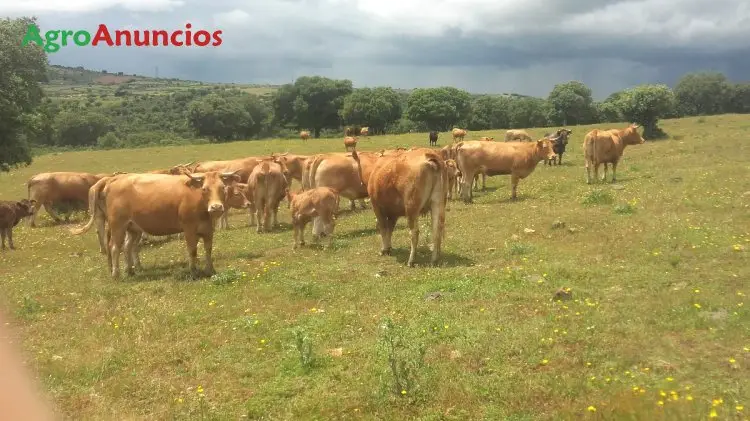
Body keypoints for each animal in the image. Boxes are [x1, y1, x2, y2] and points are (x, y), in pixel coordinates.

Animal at [70, 169, 241, 278]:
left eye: (222, 187)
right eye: (205, 189)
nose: (216, 207)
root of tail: (114, 180)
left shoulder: (208, 230)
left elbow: (208, 250)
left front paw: (210, 269)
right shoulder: (189, 229)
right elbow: (192, 250)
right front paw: (193, 271)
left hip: (133, 228)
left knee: (127, 247)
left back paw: (130, 270)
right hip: (118, 225)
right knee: (114, 247)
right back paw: (116, 273)